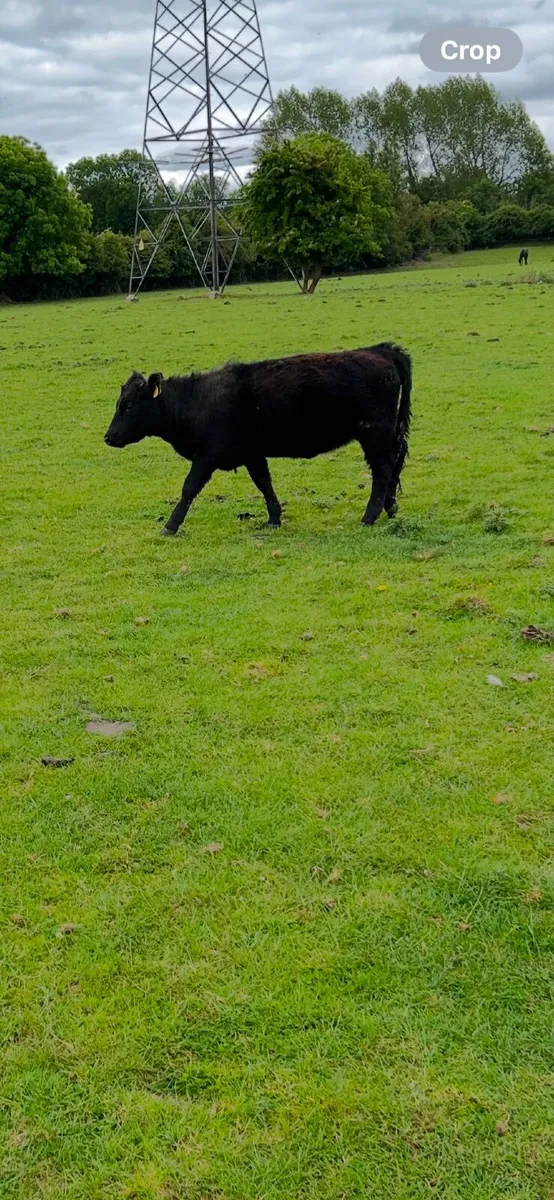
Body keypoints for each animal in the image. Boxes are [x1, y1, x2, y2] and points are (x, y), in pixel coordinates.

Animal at [104, 343, 412, 536]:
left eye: (128, 405)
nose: (108, 437)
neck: (197, 400)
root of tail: (380, 350)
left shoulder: (206, 457)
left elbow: (188, 488)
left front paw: (170, 525)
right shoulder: (252, 454)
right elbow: (264, 484)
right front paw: (274, 518)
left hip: (374, 433)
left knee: (382, 471)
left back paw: (370, 516)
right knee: (393, 467)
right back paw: (390, 507)